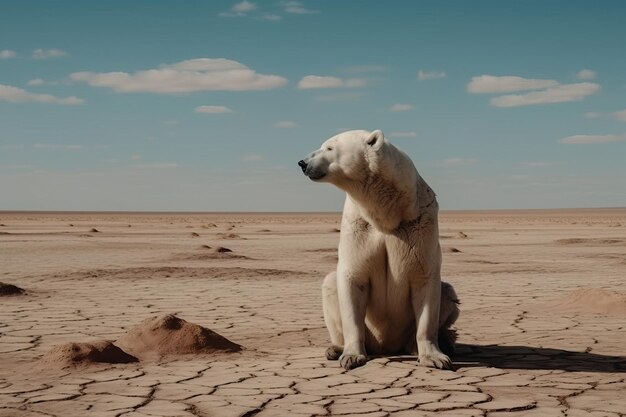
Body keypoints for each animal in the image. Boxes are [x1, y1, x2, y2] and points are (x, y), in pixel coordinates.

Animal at [298, 128, 458, 368]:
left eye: (329, 147)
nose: (303, 162)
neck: (387, 214)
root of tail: (387, 346)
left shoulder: (420, 225)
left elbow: (425, 280)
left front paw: (435, 358)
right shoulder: (358, 226)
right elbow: (352, 277)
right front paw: (352, 356)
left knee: (448, 291)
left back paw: (434, 345)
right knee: (330, 284)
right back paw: (335, 348)